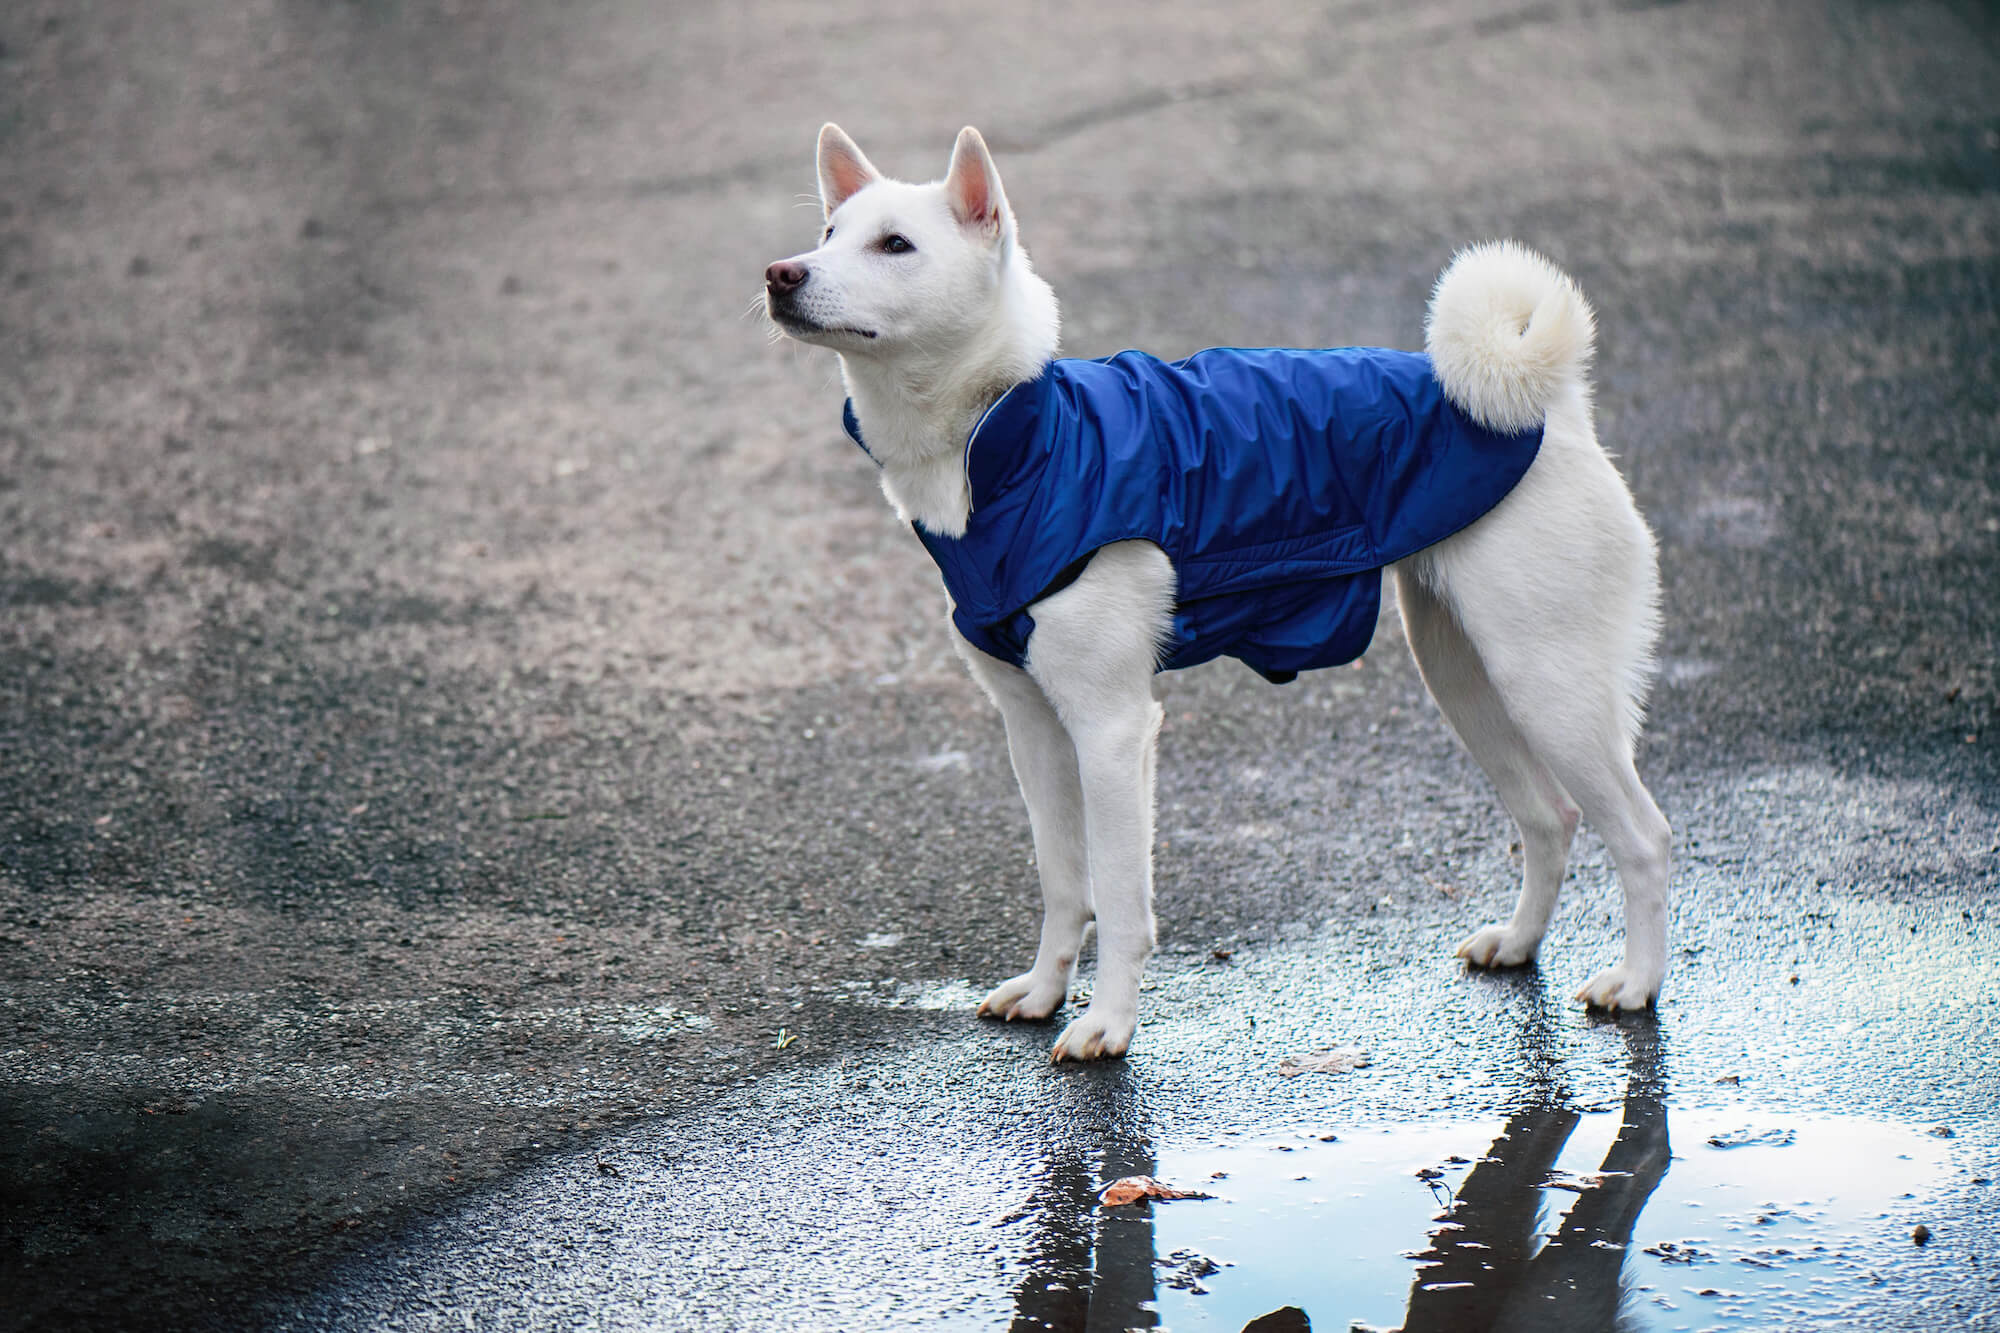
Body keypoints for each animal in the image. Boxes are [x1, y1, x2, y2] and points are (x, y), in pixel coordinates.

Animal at [764, 124, 1672, 1056]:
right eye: (830, 234)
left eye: (895, 245)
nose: (780, 274)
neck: (1013, 438)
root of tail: (1555, 411)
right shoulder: (1034, 730)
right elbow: (1063, 884)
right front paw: (1046, 991)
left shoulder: (1112, 730)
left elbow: (1118, 898)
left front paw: (1107, 1023)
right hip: (1464, 675)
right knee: (1549, 818)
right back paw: (1520, 943)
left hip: (1549, 687)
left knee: (1645, 838)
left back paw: (1636, 982)